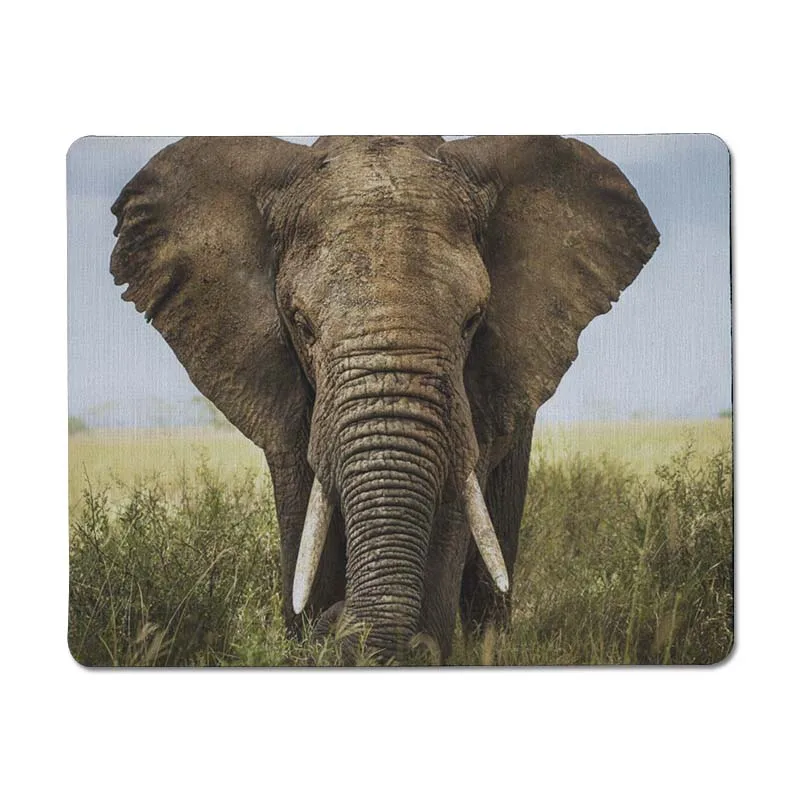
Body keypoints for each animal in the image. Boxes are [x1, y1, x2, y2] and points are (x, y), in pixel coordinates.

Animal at [110, 135, 659, 663]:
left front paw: (415, 645)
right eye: (301, 324)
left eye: (473, 321)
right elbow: (304, 516)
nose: (337, 621)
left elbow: (453, 508)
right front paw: (312, 629)